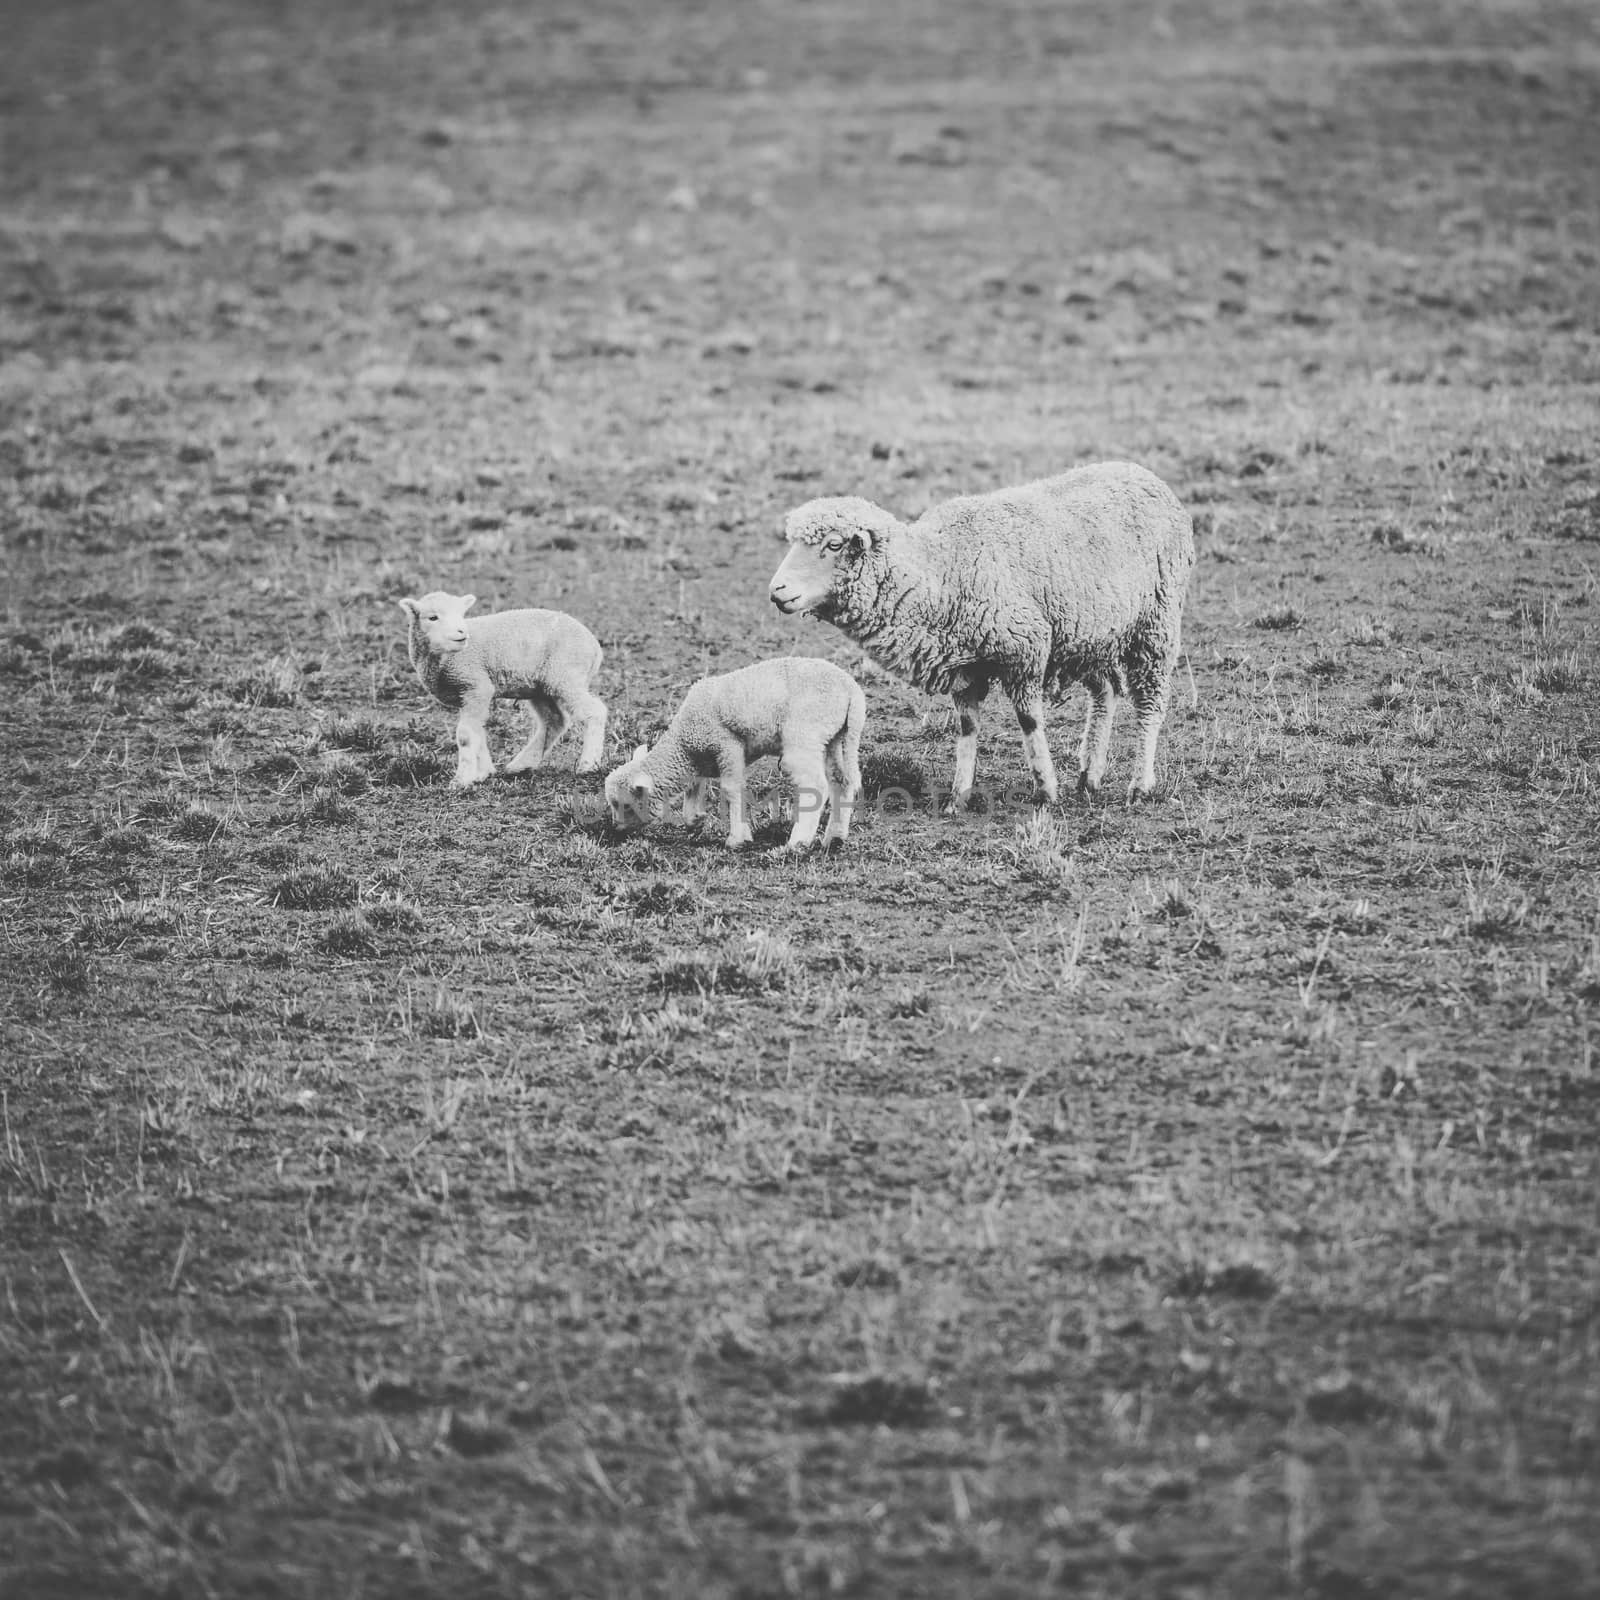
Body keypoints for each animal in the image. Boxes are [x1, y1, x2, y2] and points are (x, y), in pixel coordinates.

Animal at [398, 588, 604, 787]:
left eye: (461, 614)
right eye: (433, 617)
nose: (462, 632)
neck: (442, 659)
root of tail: (595, 646)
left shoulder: (475, 685)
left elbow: (466, 735)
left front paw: (462, 780)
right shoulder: (468, 695)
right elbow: (478, 732)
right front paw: (483, 773)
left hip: (565, 675)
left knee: (595, 711)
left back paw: (588, 765)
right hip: (540, 686)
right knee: (555, 720)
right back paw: (522, 765)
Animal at [604, 652, 870, 851]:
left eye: (625, 805)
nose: (615, 830)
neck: (683, 743)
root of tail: (851, 690)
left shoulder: (727, 744)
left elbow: (731, 789)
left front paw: (737, 838)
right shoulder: (702, 757)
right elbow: (694, 788)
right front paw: (695, 820)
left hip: (805, 734)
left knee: (816, 786)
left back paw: (797, 842)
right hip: (837, 737)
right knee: (842, 782)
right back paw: (834, 838)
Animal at [768, 464, 1196, 812]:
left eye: (833, 545)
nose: (777, 591)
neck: (940, 569)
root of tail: (1144, 474)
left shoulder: (1025, 649)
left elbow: (1028, 721)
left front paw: (1045, 790)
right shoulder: (964, 667)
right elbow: (967, 728)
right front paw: (958, 797)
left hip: (1156, 625)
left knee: (1149, 705)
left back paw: (1139, 784)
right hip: (1091, 636)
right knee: (1105, 692)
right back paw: (1089, 775)